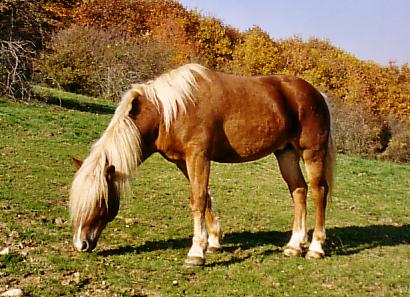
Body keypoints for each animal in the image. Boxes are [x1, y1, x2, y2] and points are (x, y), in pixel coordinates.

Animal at [69, 63, 334, 266]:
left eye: (100, 201)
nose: (81, 243)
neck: (168, 111)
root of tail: (316, 94)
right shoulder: (183, 161)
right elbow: (204, 196)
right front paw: (214, 241)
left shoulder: (198, 156)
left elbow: (197, 199)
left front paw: (196, 253)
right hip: (285, 153)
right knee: (299, 190)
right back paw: (294, 245)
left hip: (312, 153)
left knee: (318, 192)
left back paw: (315, 248)